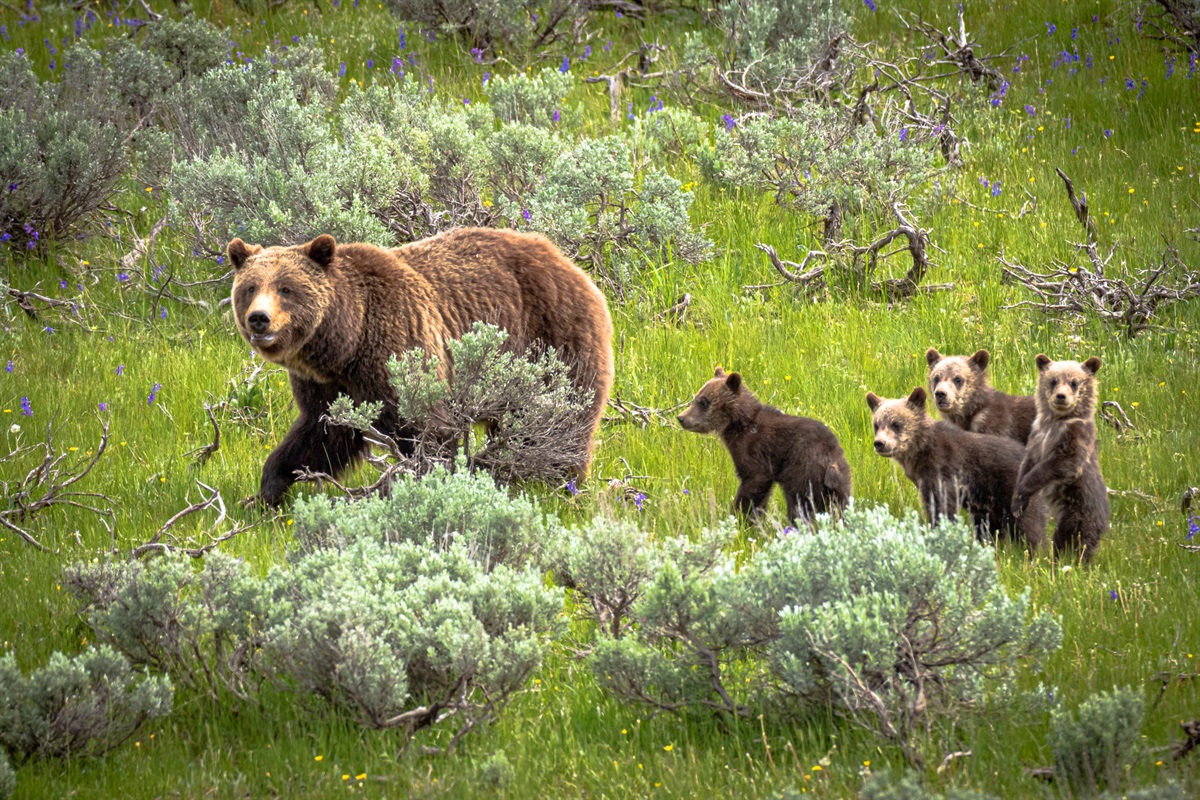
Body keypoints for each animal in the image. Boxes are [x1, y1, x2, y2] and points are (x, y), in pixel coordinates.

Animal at [227, 227, 614, 506]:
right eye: (250, 287)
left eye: (286, 288)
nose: (259, 319)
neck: (347, 342)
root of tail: (573, 266)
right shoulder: (328, 385)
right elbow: (320, 434)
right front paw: (264, 492)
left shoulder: (399, 346)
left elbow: (430, 428)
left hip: (552, 340)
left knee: (559, 418)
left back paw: (556, 479)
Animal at [677, 368, 851, 525]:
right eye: (696, 397)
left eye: (703, 401)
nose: (681, 417)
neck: (739, 424)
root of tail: (830, 458)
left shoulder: (754, 451)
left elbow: (754, 482)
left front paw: (741, 517)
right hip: (841, 478)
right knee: (841, 506)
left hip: (803, 469)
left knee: (799, 504)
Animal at [866, 387, 1046, 548]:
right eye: (876, 424)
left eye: (896, 424)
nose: (880, 443)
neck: (921, 454)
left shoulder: (945, 470)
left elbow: (944, 507)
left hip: (1012, 491)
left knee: (1029, 526)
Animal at [1011, 354, 1109, 563]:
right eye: (1053, 380)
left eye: (1074, 382)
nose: (1061, 396)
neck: (1056, 422)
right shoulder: (1036, 436)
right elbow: (1026, 465)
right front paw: (1017, 502)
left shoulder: (1074, 437)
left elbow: (1062, 464)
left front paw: (1024, 488)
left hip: (1078, 513)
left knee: (1072, 541)